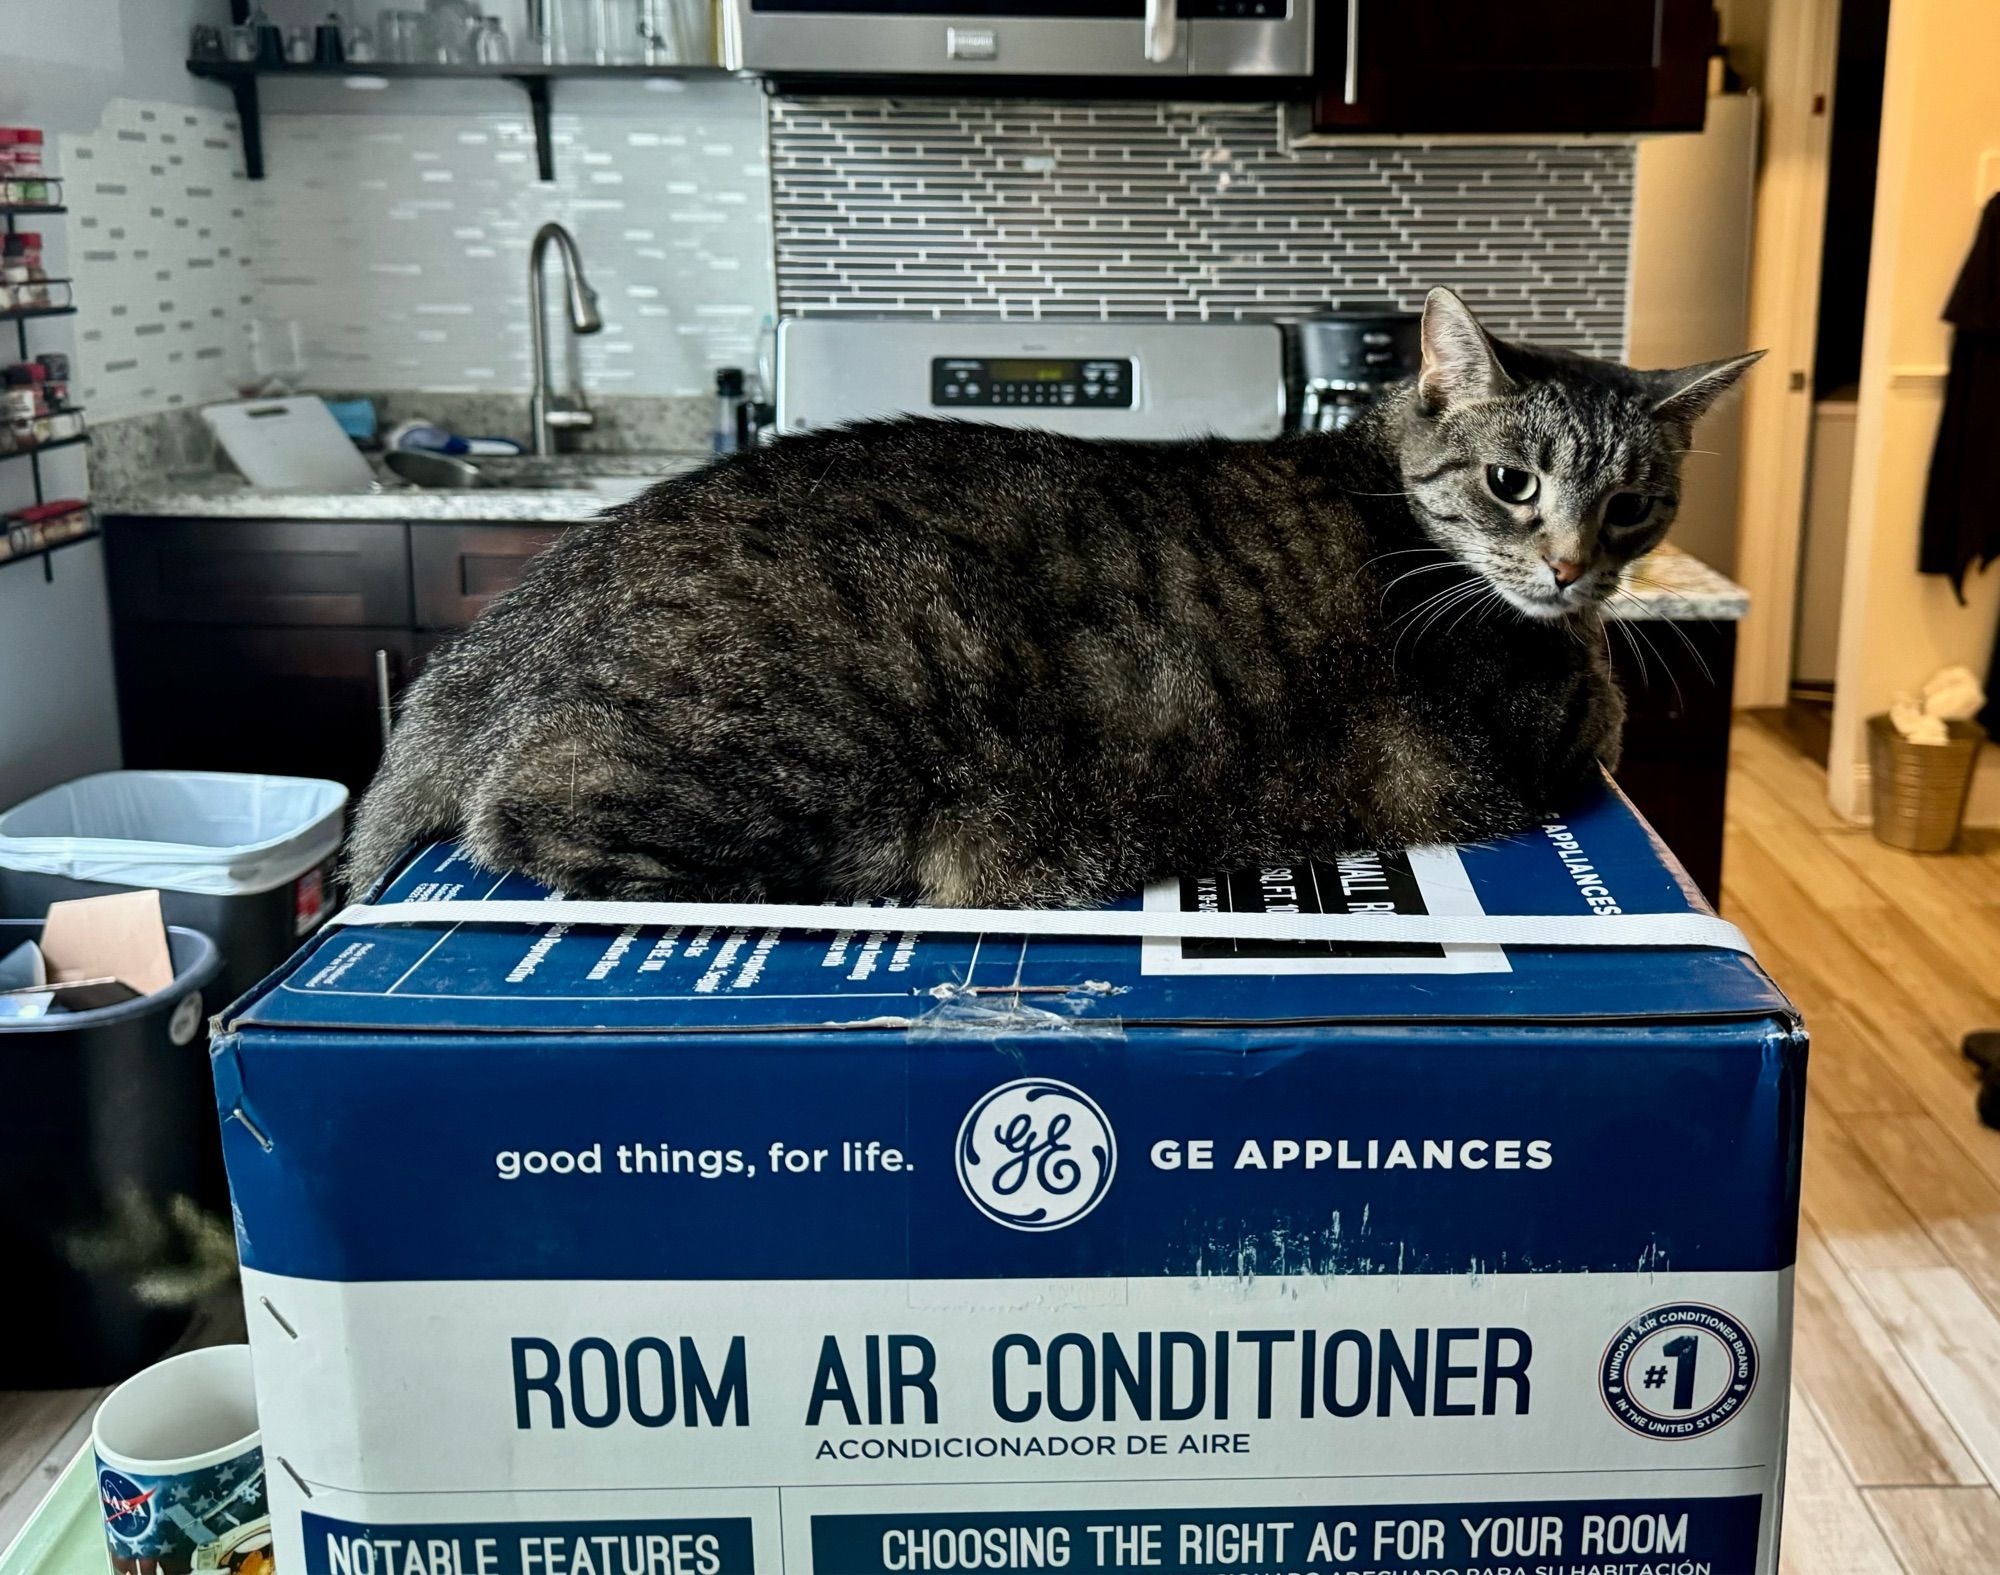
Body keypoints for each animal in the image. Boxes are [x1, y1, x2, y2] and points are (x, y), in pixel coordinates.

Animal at [348, 293, 1768, 903]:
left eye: (1634, 503)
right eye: (1511, 480)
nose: (1577, 567)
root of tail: (516, 617)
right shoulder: (1558, 739)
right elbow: (1600, 724)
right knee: (535, 832)